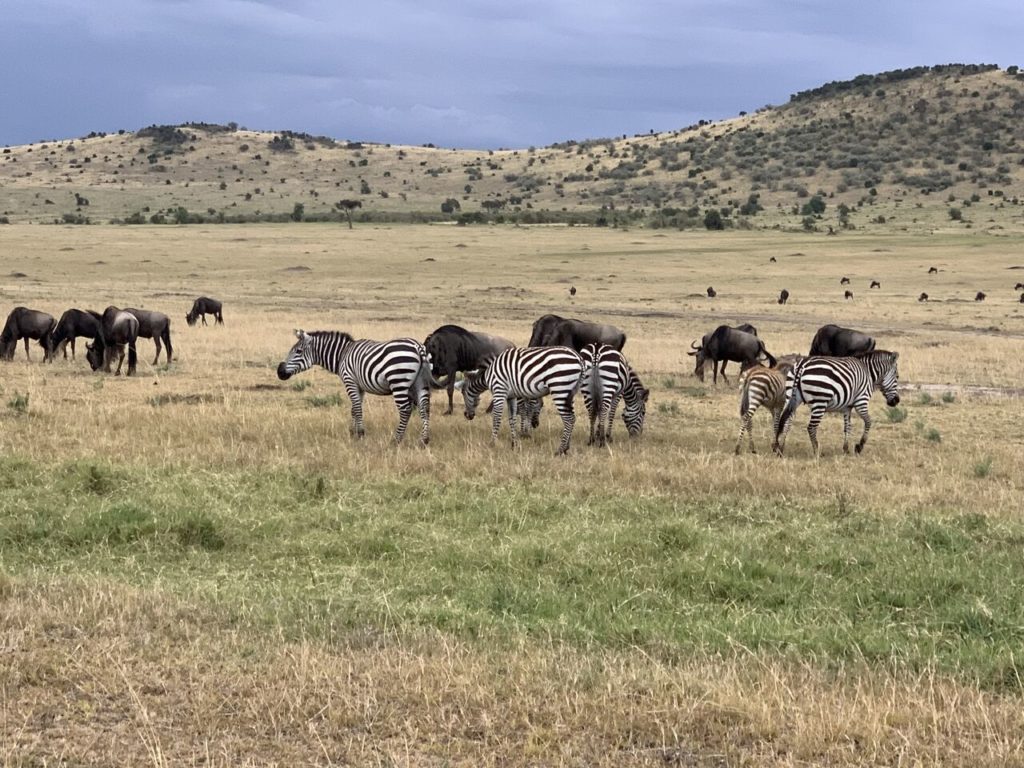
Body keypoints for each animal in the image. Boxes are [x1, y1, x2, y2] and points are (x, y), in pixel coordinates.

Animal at [274, 329, 438, 444]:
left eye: (298, 351)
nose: (279, 372)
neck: (342, 355)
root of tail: (418, 347)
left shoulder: (350, 381)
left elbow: (357, 409)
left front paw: (360, 434)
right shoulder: (360, 386)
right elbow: (354, 408)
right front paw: (352, 432)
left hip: (398, 381)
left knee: (405, 410)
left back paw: (396, 439)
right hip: (421, 383)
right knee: (425, 408)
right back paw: (424, 440)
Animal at [460, 348, 589, 456]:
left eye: (462, 391)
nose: (467, 415)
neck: (488, 375)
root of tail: (579, 358)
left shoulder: (499, 391)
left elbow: (496, 418)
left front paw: (492, 443)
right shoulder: (511, 397)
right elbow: (512, 419)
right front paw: (514, 444)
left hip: (560, 388)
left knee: (568, 419)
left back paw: (560, 450)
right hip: (570, 392)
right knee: (572, 417)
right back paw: (566, 448)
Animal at [770, 354, 901, 456]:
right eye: (897, 377)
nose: (897, 400)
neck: (868, 373)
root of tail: (802, 364)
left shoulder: (848, 407)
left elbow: (848, 427)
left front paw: (846, 449)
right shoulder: (861, 401)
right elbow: (868, 422)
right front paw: (859, 446)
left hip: (791, 398)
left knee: (787, 422)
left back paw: (781, 450)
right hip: (820, 402)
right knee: (811, 427)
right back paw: (817, 452)